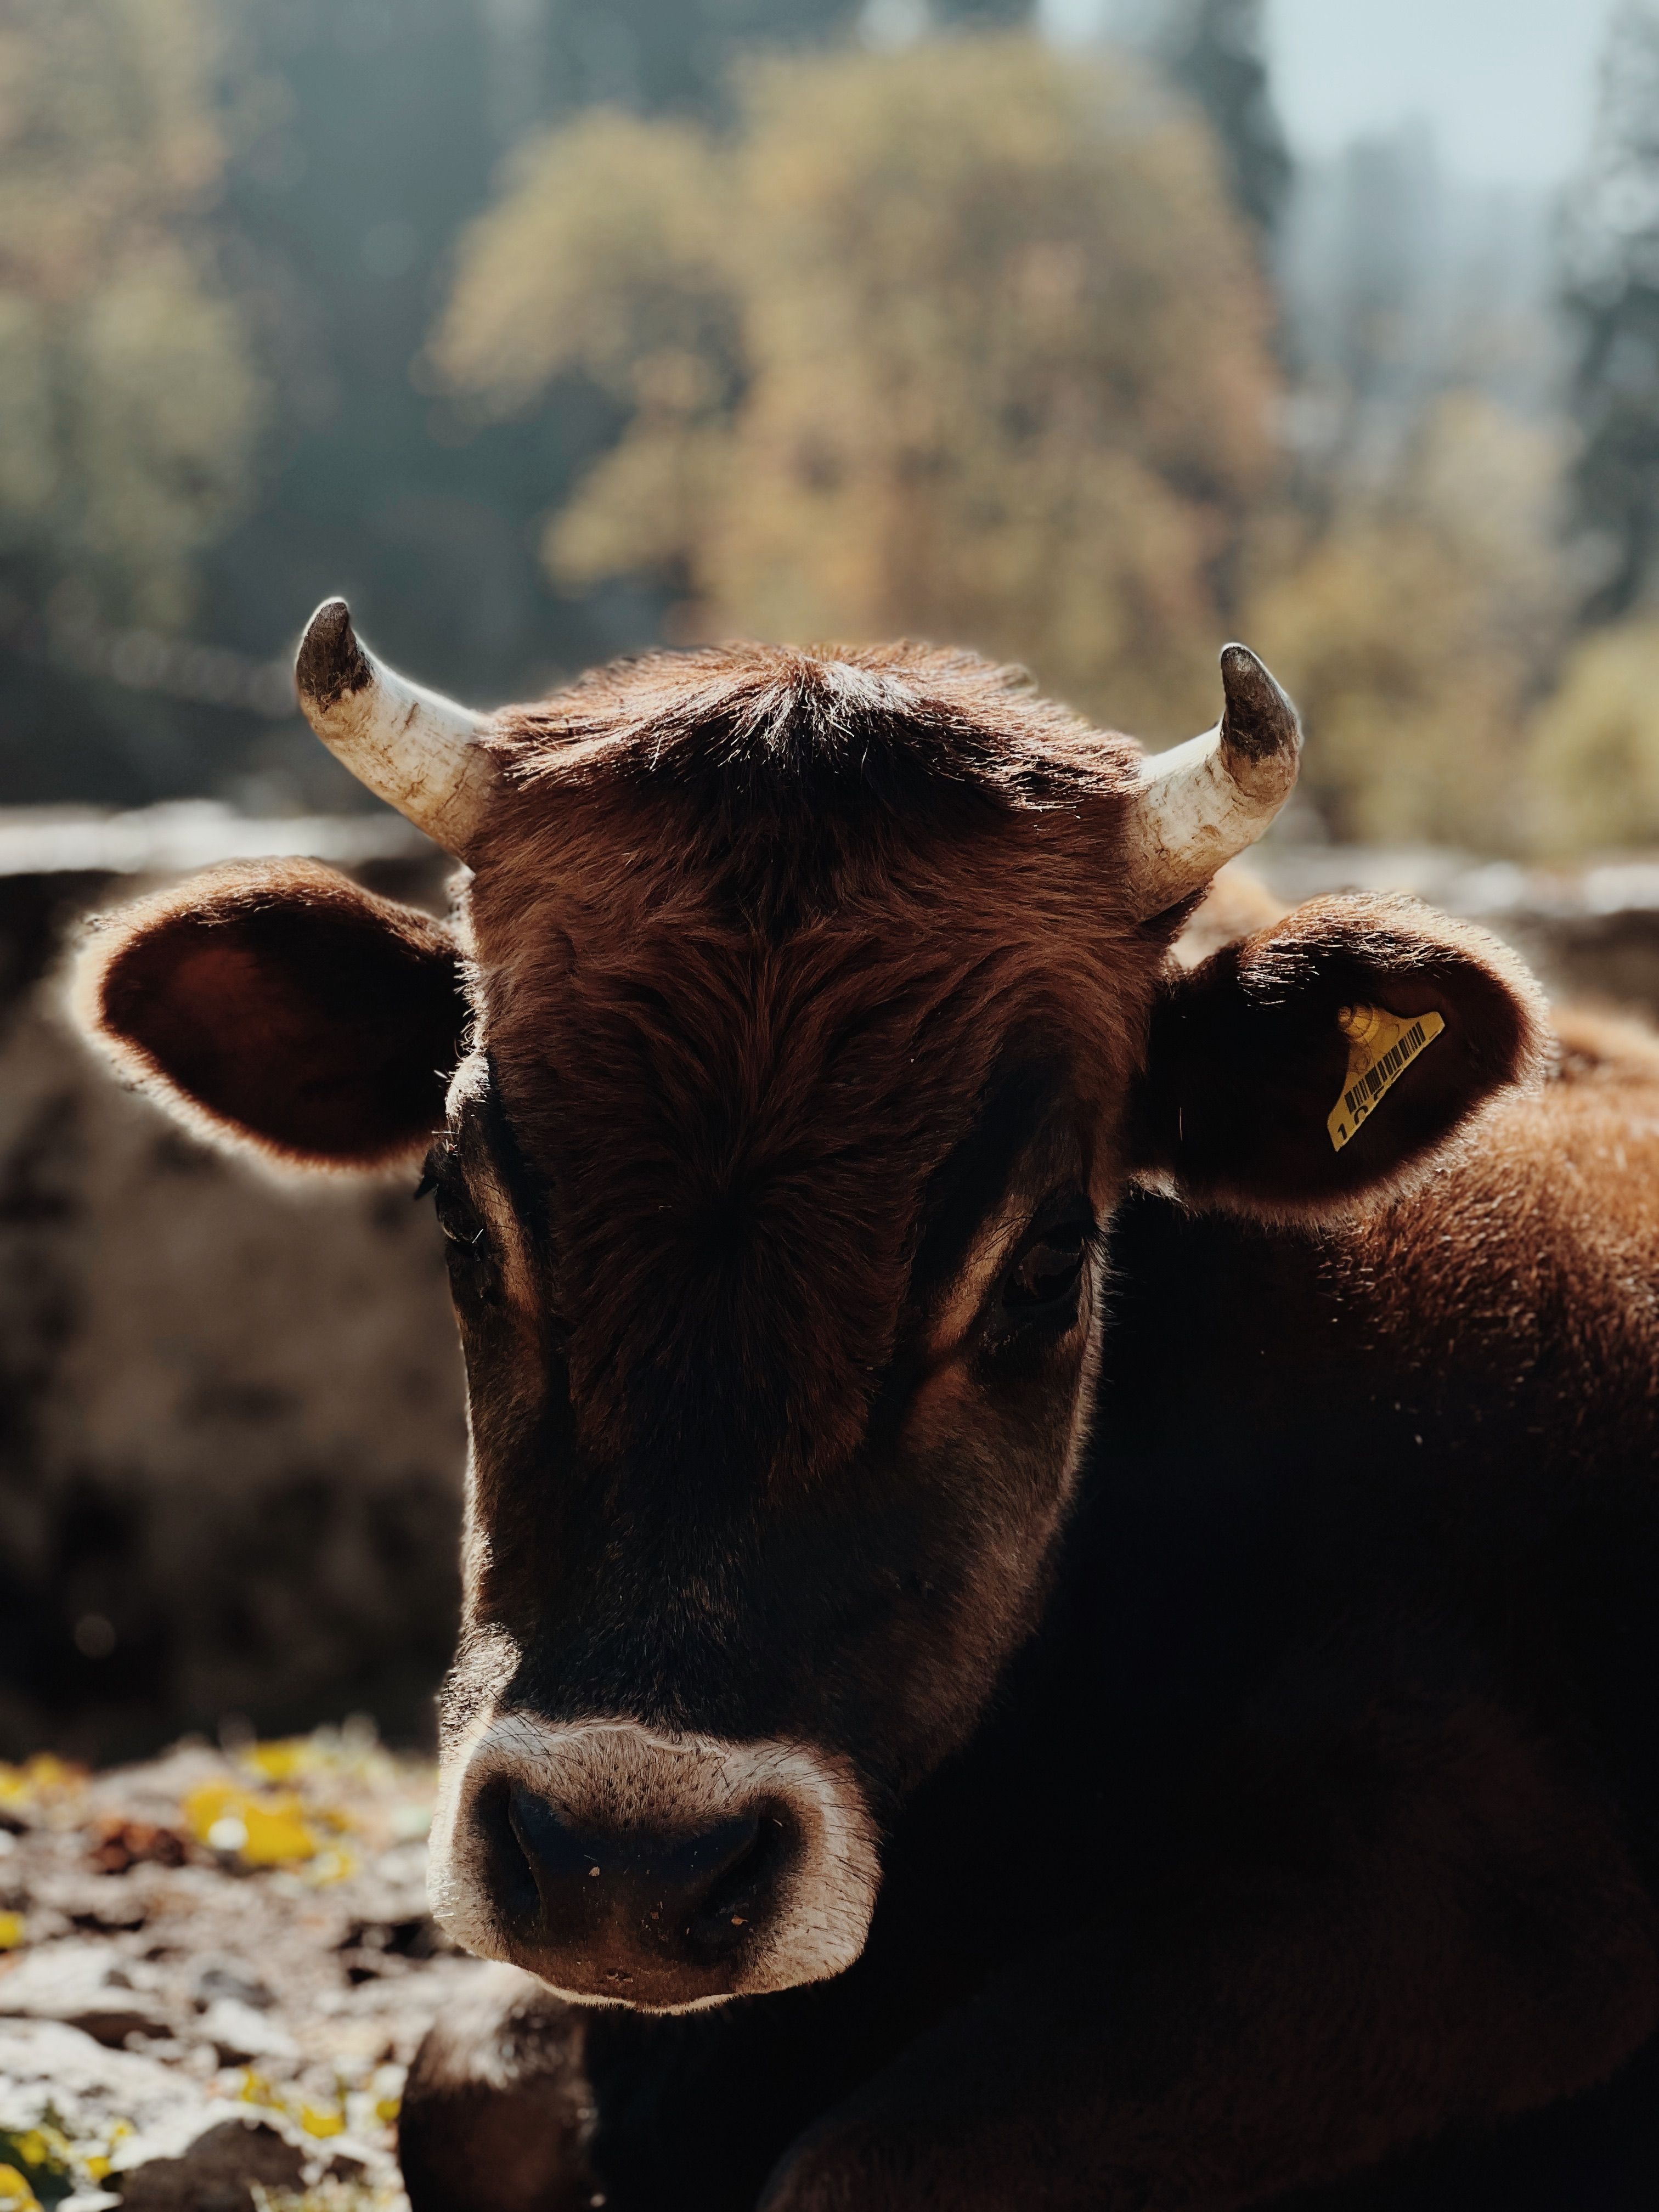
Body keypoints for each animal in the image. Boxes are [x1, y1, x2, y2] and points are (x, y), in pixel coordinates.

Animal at [75, 601, 1659, 2212]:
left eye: (1048, 1263)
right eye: (459, 1209)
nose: (623, 1866)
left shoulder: (1492, 1901)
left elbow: (853, 2168)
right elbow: (465, 2091)